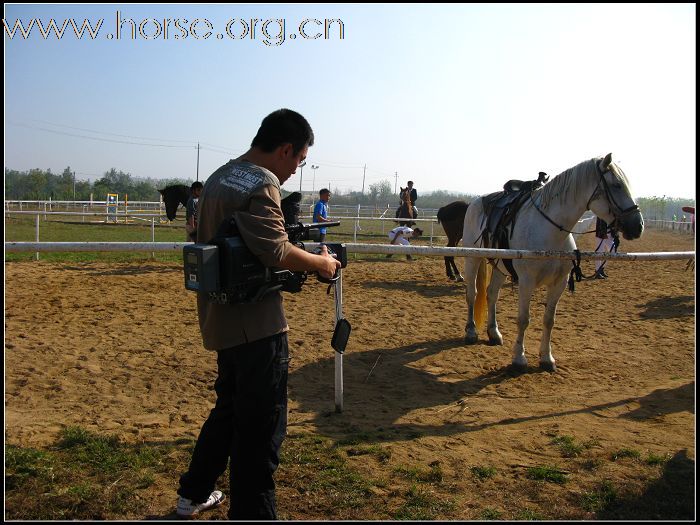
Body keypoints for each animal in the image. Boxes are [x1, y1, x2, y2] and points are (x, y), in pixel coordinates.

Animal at [462, 154, 644, 370]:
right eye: (617, 185)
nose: (638, 225)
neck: (549, 231)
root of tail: (475, 202)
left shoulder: (560, 283)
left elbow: (549, 320)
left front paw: (547, 358)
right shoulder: (526, 282)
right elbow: (523, 319)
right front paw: (519, 358)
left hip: (500, 266)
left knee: (491, 294)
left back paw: (494, 333)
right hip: (472, 259)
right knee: (472, 294)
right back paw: (471, 331)